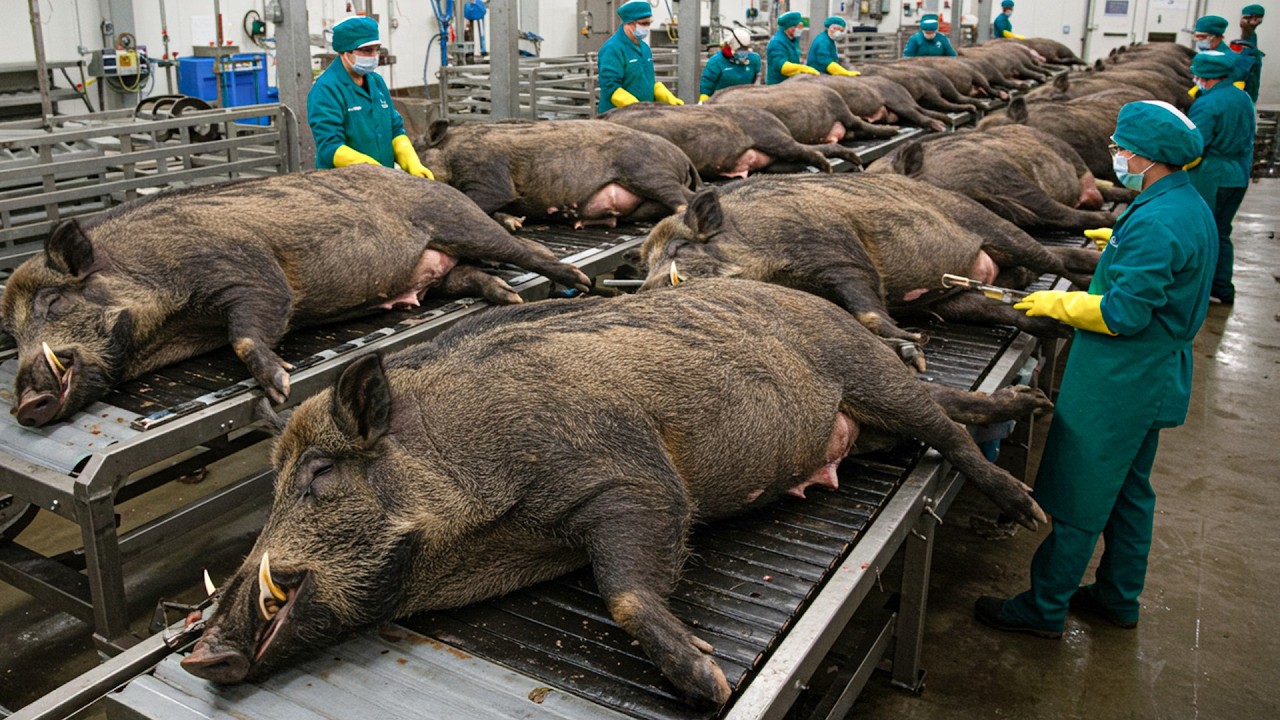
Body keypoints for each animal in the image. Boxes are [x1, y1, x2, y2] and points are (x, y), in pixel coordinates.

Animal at [0, 165, 591, 427]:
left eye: (53, 304)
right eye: (15, 333)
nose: (24, 405)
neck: (172, 327)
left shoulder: (247, 270)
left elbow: (247, 331)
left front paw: (281, 387)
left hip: (459, 221)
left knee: (522, 247)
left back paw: (571, 283)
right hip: (434, 269)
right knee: (467, 276)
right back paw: (506, 297)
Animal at [180, 278, 1050, 709]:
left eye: (321, 476)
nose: (196, 652)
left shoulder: (633, 474)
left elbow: (627, 587)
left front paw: (710, 684)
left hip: (865, 371)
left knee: (951, 432)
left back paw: (1028, 507)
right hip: (871, 417)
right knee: (951, 408)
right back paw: (1030, 406)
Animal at [414, 119, 699, 230]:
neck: (451, 151)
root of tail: (683, 158)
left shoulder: (488, 172)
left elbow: (490, 195)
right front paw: (515, 222)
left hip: (648, 171)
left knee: (683, 198)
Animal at [637, 177, 1100, 351]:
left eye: (680, 248)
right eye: (646, 263)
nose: (642, 291)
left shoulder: (839, 255)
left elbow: (867, 309)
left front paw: (914, 344)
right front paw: (913, 342)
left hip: (993, 227)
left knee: (1052, 257)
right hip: (952, 297)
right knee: (1006, 310)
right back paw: (1055, 328)